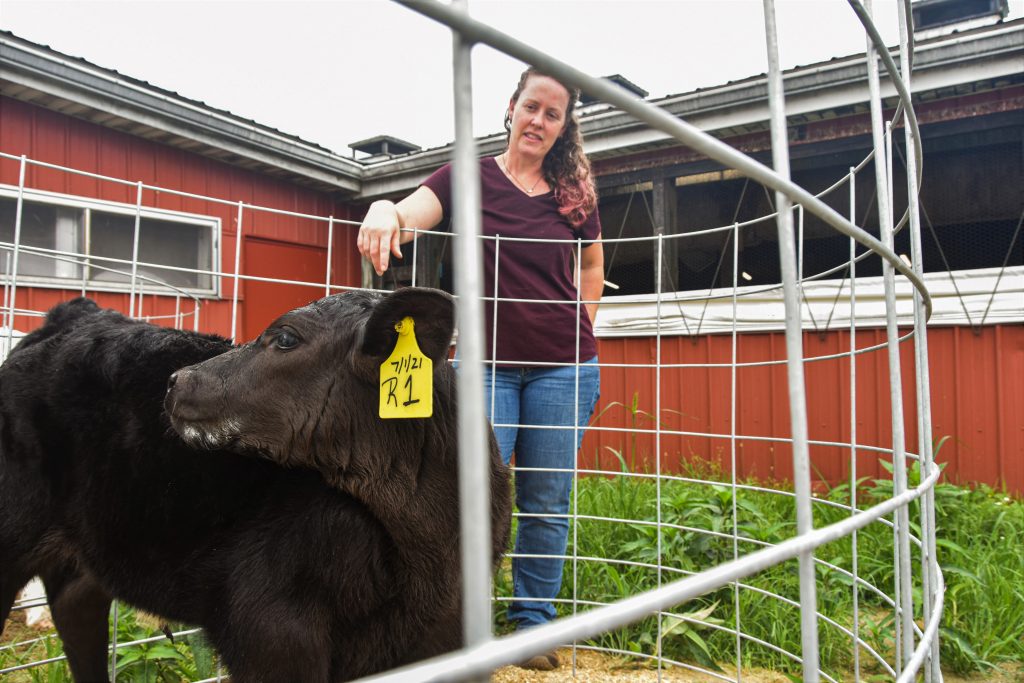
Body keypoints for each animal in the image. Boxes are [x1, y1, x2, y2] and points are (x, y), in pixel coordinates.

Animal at [0, 290, 512, 683]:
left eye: (284, 338)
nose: (175, 380)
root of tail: (79, 312)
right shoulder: (272, 631)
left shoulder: (448, 635)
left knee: (76, 610)